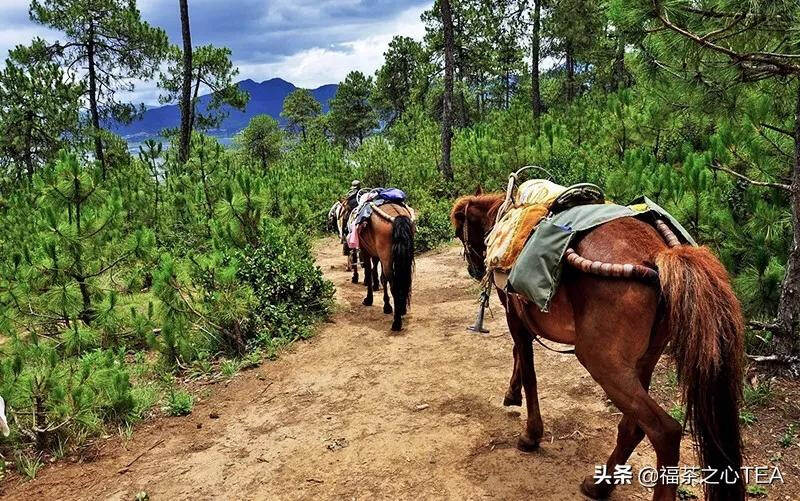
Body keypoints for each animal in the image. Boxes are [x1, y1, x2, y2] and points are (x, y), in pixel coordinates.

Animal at [358, 201, 416, 330]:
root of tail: (397, 218)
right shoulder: (379, 256)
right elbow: (383, 278)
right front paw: (387, 305)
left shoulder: (365, 251)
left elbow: (369, 274)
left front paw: (369, 299)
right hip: (403, 258)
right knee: (404, 280)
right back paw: (402, 309)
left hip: (386, 257)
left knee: (394, 286)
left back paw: (397, 323)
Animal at [454, 191, 748, 500]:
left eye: (459, 233)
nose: (474, 269)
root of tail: (658, 253)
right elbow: (518, 358)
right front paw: (512, 394)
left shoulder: (516, 318)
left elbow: (527, 369)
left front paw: (530, 435)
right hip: (643, 361)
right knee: (633, 426)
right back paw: (600, 484)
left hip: (603, 364)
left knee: (665, 431)